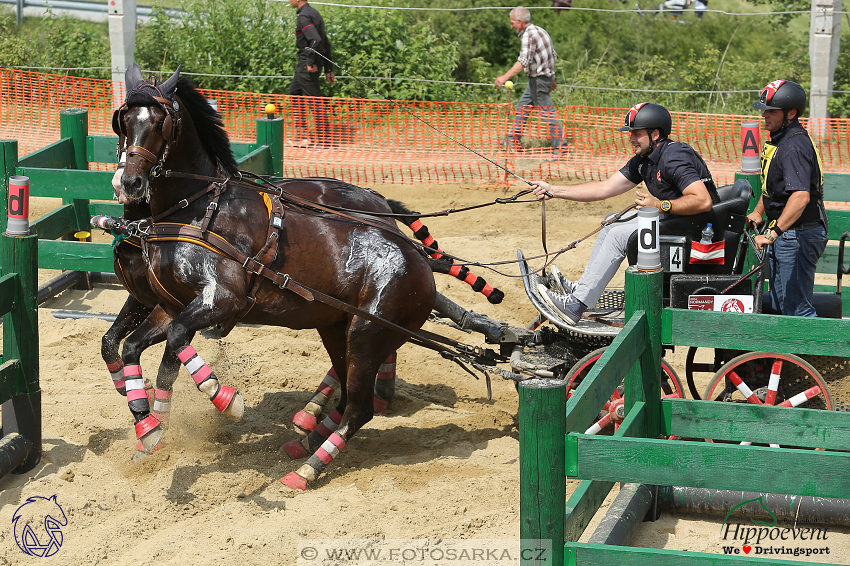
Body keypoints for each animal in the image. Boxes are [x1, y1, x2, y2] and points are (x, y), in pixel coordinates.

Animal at [116, 61, 434, 488]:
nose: (130, 182)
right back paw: (307, 439)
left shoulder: (222, 299)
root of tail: (421, 262)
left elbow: (177, 341)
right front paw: (150, 426)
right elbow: (142, 350)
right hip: (337, 329)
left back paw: (307, 468)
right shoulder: (171, 304)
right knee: (346, 392)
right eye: (124, 120)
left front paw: (222, 397)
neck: (199, 211)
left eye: (160, 123)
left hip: (368, 335)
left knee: (359, 409)